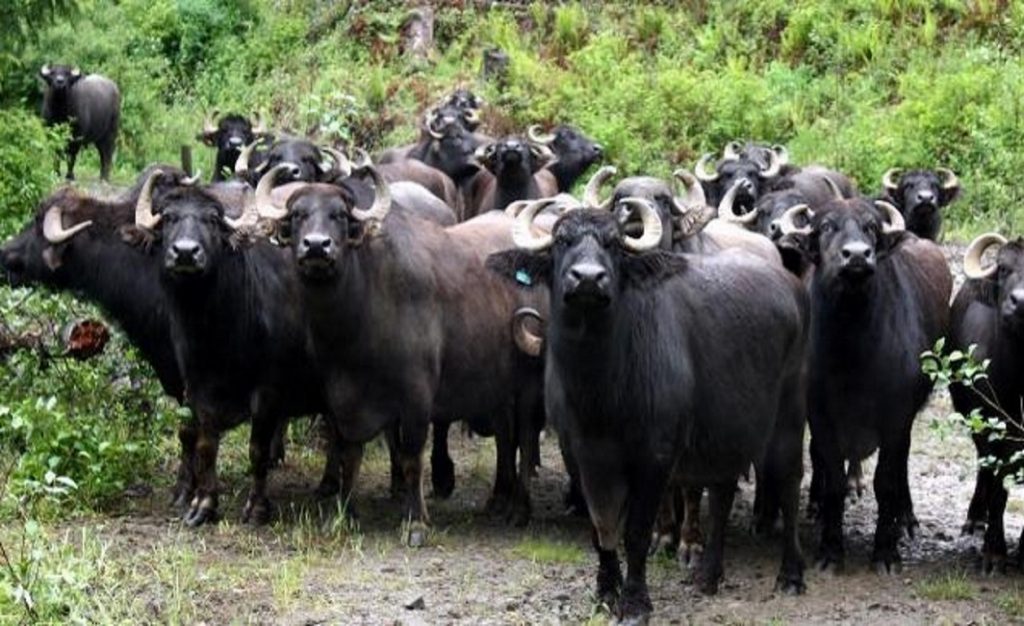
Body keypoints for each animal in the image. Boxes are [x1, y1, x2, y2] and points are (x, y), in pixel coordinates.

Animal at [255, 164, 548, 536]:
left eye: (339, 215)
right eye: (297, 215)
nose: (317, 246)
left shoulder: (417, 396)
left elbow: (411, 457)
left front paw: (416, 521)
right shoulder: (342, 396)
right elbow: (350, 454)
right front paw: (344, 513)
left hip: (529, 382)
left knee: (524, 437)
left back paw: (520, 509)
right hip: (495, 383)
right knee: (505, 437)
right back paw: (498, 499)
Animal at [487, 195, 809, 623]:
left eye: (613, 244)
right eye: (561, 241)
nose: (587, 279)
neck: (599, 389)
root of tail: (792, 285)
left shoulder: (655, 456)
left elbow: (636, 532)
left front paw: (636, 602)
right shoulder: (578, 453)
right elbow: (599, 527)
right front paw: (606, 590)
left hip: (789, 414)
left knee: (788, 484)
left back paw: (790, 574)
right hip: (728, 429)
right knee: (722, 493)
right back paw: (708, 575)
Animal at [777, 198, 951, 572]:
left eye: (871, 226)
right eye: (826, 226)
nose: (857, 256)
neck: (852, 350)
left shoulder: (897, 417)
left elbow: (886, 482)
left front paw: (885, 552)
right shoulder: (820, 416)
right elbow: (833, 482)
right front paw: (830, 550)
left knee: (901, 466)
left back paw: (906, 519)